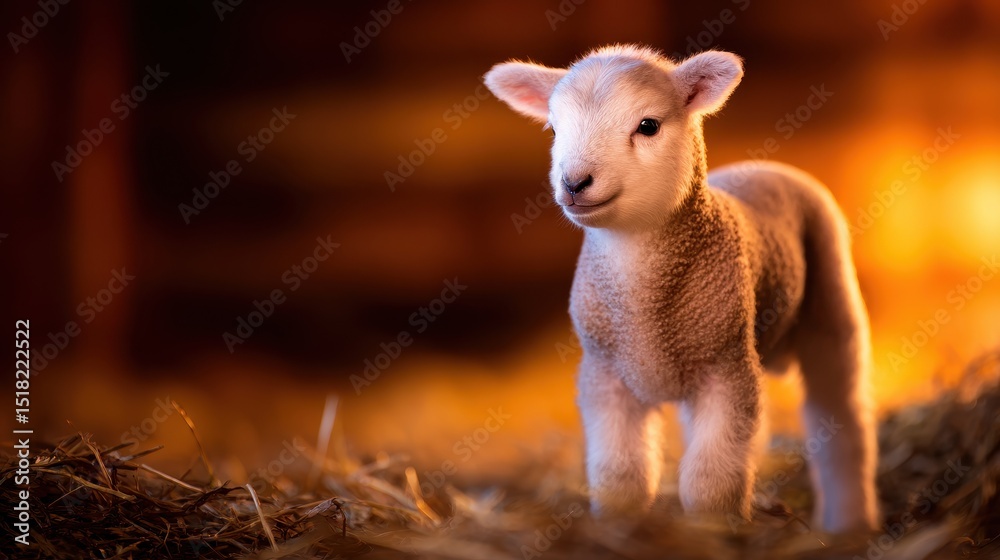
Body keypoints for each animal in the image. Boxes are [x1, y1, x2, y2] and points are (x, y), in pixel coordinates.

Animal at [484, 45, 878, 533]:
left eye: (648, 125)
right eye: (554, 129)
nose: (574, 183)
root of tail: (762, 165)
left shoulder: (726, 368)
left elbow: (709, 482)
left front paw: (713, 530)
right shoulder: (604, 374)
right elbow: (620, 475)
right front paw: (621, 528)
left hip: (831, 298)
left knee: (840, 420)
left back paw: (850, 521)